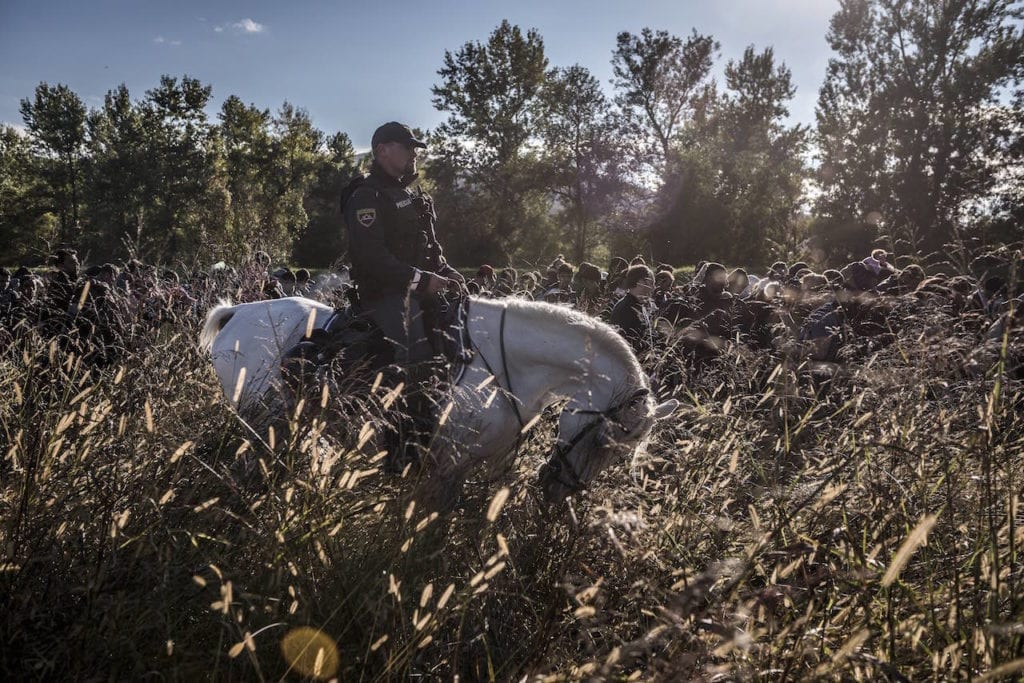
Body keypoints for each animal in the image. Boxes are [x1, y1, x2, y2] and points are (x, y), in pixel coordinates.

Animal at [199, 296, 679, 507]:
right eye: (602, 441)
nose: (557, 495)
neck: (504, 367)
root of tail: (238, 312)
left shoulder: (495, 466)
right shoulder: (449, 466)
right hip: (259, 420)